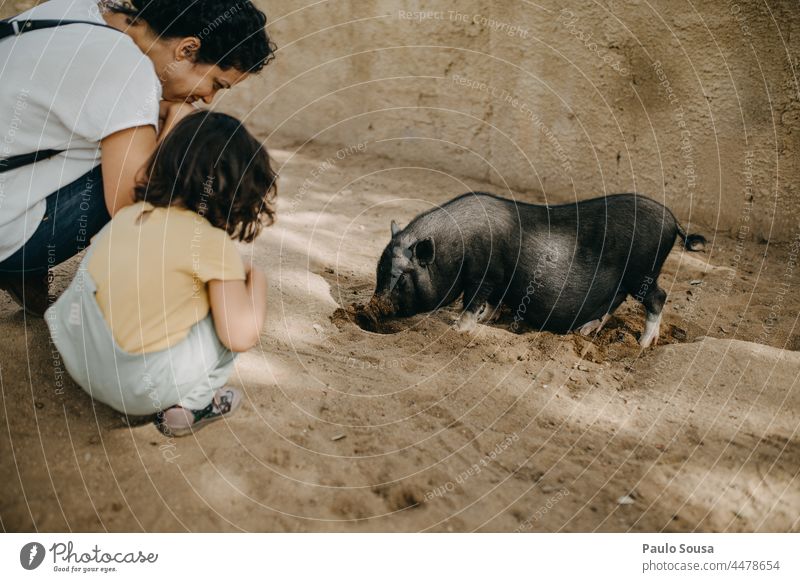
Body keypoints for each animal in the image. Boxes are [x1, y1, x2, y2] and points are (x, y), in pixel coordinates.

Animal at [362, 192, 708, 350]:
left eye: (402, 277)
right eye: (380, 269)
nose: (368, 309)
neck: (455, 249)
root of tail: (672, 220)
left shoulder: (485, 275)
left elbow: (473, 301)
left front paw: (458, 329)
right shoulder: (500, 280)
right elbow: (491, 303)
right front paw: (487, 321)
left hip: (643, 272)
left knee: (658, 297)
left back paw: (642, 344)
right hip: (627, 279)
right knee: (615, 301)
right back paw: (586, 331)